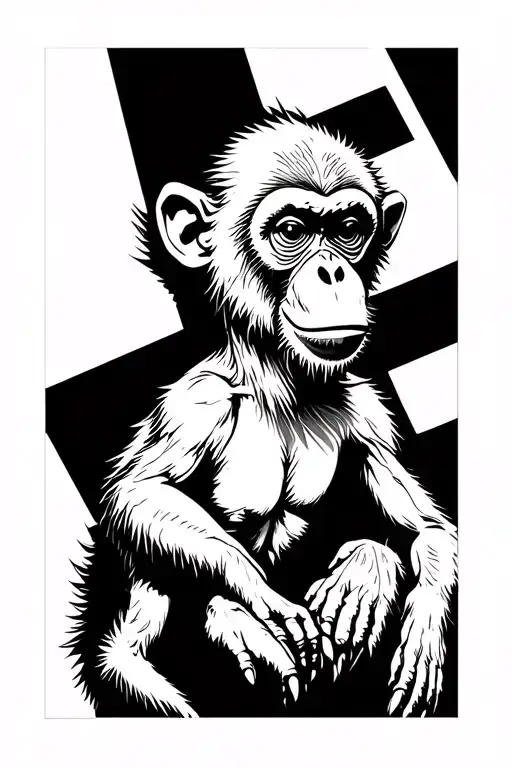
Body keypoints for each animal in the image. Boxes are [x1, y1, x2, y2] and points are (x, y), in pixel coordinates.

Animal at [69, 108, 457, 718]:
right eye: (292, 231)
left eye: (349, 230)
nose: (332, 272)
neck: (279, 383)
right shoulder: (195, 404)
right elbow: (138, 497)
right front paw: (258, 603)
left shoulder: (368, 413)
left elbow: (427, 528)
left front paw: (413, 618)